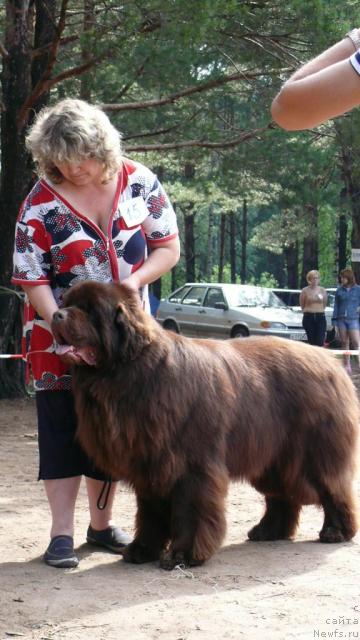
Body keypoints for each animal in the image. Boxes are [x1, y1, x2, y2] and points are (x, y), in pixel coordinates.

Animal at [52, 282, 358, 568]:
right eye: (66, 303)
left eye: (90, 310)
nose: (56, 314)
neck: (132, 373)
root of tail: (330, 362)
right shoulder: (151, 463)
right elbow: (150, 512)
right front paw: (142, 550)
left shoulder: (192, 465)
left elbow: (192, 509)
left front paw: (183, 554)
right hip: (272, 456)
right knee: (281, 494)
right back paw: (268, 530)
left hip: (313, 453)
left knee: (332, 487)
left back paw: (336, 531)